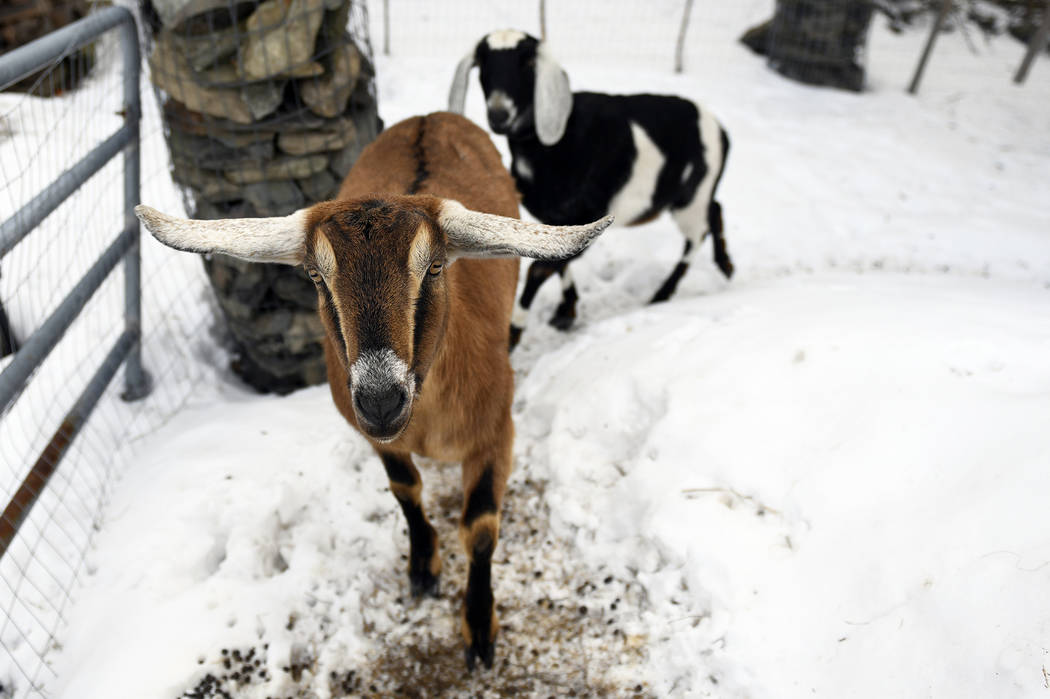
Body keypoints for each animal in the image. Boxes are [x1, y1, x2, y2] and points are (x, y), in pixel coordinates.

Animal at [133, 111, 609, 667]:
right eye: (316, 275)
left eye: (435, 266)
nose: (382, 400)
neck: (427, 420)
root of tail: (430, 117)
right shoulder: (376, 437)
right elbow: (405, 490)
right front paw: (423, 568)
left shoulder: (496, 433)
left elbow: (480, 528)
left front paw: (478, 629)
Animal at [447, 29, 734, 346]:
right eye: (483, 63)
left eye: (529, 63)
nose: (499, 115)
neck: (557, 144)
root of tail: (721, 130)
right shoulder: (557, 219)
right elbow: (557, 257)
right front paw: (566, 310)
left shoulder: (590, 213)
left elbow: (539, 268)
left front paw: (515, 332)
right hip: (695, 195)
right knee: (716, 209)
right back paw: (725, 265)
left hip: (691, 200)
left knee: (697, 235)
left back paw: (663, 293)